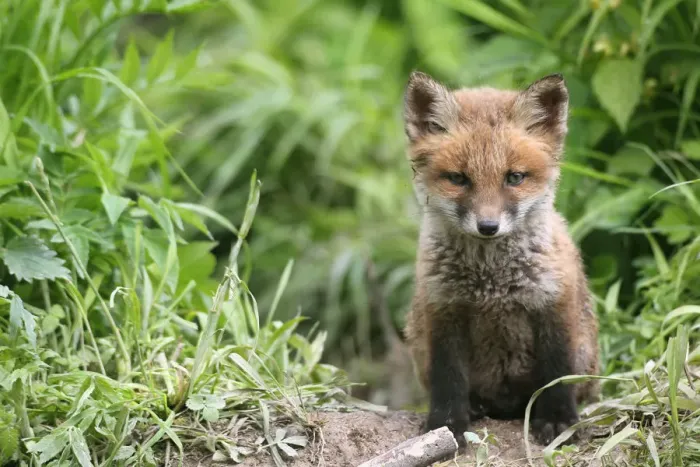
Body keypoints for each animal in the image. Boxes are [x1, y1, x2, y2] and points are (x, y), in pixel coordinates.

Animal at [402, 71, 600, 445]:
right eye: (458, 179)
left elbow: (556, 373)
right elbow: (448, 379)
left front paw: (558, 420)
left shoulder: (553, 303)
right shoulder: (443, 310)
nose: (488, 226)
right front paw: (445, 425)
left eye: (514, 177)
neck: (491, 283)